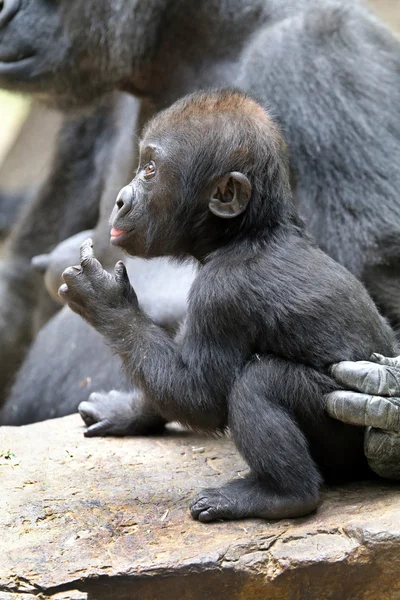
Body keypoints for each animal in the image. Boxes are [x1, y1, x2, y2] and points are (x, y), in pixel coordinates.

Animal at [59, 89, 396, 520]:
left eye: (150, 170)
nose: (119, 201)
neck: (248, 232)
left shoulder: (221, 293)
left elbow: (200, 393)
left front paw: (106, 302)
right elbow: (171, 377)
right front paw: (129, 412)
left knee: (260, 383)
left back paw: (282, 495)